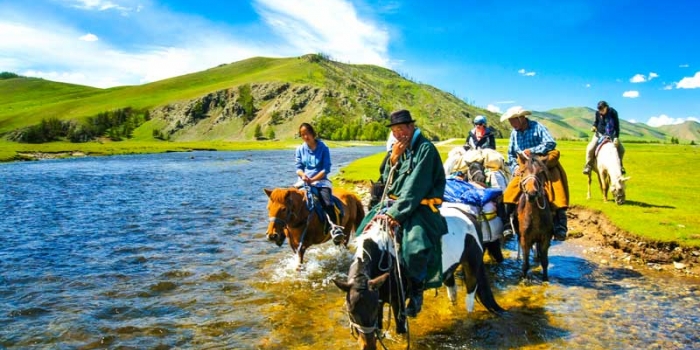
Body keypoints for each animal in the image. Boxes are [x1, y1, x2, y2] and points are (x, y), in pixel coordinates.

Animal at [516, 153, 552, 282]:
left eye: (541, 172)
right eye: (523, 171)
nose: (532, 194)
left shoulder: (546, 238)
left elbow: (545, 261)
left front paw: (545, 279)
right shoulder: (524, 239)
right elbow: (525, 264)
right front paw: (523, 278)